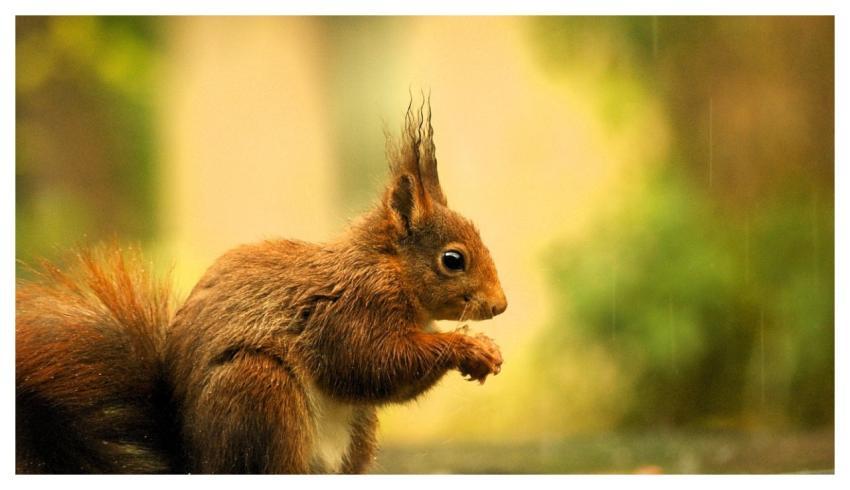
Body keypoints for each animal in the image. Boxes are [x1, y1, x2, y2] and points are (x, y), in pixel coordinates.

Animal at [15, 100, 507, 474]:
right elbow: (370, 361)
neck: (387, 267)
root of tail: (194, 464)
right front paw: (469, 347)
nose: (501, 306)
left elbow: (386, 381)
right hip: (260, 391)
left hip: (354, 430)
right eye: (453, 260)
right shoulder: (349, 309)